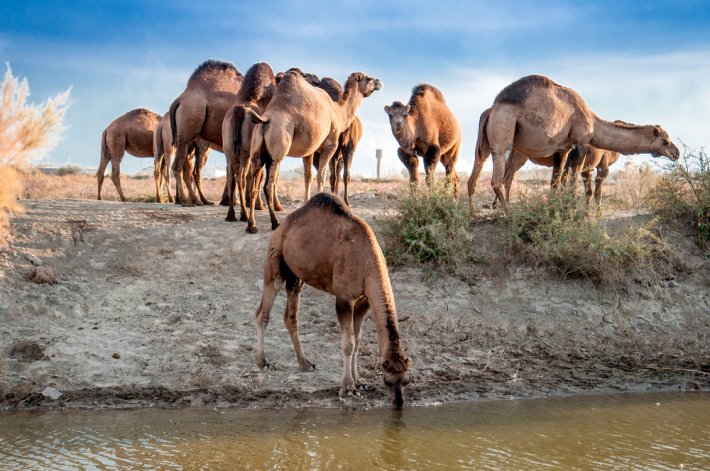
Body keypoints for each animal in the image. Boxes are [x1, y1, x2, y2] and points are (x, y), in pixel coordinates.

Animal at [170, 58, 245, 205]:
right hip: (189, 128)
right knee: (181, 168)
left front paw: (228, 200)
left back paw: (198, 200)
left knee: (189, 170)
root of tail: (180, 99)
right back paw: (187, 201)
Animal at [254, 192, 412, 410]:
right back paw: (262, 361)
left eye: (406, 381)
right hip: (274, 261)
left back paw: (305, 363)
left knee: (290, 316)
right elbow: (348, 343)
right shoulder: (344, 298)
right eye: (387, 381)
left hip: (296, 276)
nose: (398, 403)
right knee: (263, 311)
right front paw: (347, 388)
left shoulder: (363, 301)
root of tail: (283, 224)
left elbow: (357, 340)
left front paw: (359, 382)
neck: (367, 262)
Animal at [470, 74, 680, 206]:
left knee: (476, 175)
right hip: (504, 130)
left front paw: (554, 210)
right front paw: (572, 213)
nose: (677, 153)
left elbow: (556, 183)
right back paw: (508, 212)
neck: (593, 123)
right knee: (498, 180)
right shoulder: (582, 144)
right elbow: (574, 184)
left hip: (488, 142)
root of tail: (491, 109)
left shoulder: (562, 149)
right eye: (666, 141)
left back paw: (472, 215)